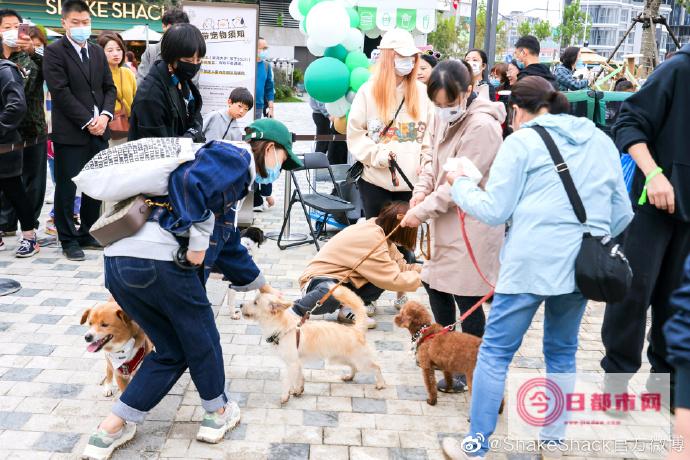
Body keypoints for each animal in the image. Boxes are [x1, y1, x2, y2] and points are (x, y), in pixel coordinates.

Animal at [239, 286, 384, 404]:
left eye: (255, 303)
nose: (240, 304)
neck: (281, 327)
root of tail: (356, 329)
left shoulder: (292, 364)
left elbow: (287, 381)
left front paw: (285, 396)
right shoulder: (296, 363)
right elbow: (298, 378)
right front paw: (298, 390)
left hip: (361, 360)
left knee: (376, 367)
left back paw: (380, 384)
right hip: (342, 358)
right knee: (354, 367)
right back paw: (349, 376)